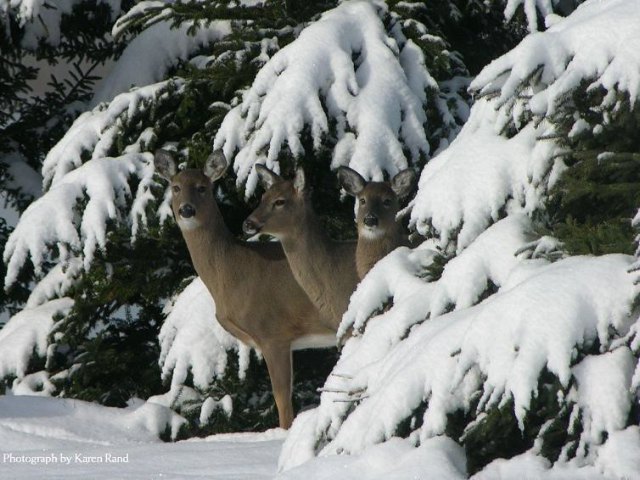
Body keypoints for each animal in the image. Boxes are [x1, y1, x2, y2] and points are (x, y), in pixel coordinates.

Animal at [155, 150, 338, 428]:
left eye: (202, 187)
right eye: (175, 188)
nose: (186, 210)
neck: (234, 271)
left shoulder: (273, 332)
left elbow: (282, 398)